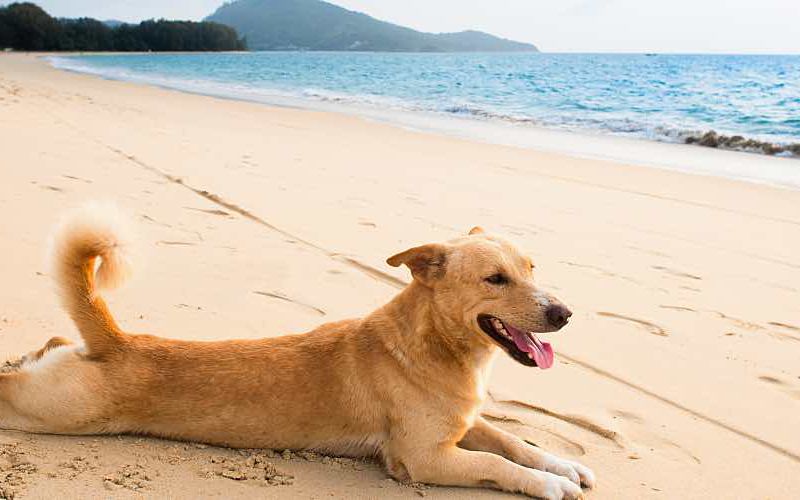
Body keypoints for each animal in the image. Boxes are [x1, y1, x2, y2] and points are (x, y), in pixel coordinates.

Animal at [0, 205, 592, 498]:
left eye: (532, 267)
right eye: (495, 279)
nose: (564, 313)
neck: (431, 344)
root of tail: (115, 339)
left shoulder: (465, 423)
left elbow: (514, 442)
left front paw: (562, 465)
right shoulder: (425, 459)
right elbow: (497, 462)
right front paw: (549, 484)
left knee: (49, 347)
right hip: (55, 411)